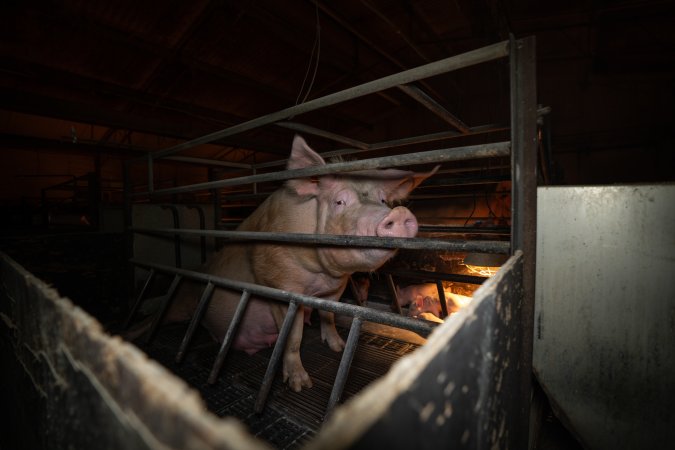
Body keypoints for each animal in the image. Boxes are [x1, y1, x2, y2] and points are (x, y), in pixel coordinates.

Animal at [131, 135, 438, 392]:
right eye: (340, 201)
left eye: (383, 199)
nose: (398, 214)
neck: (321, 276)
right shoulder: (278, 286)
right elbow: (292, 337)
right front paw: (301, 385)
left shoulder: (335, 289)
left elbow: (328, 316)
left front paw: (338, 347)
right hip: (181, 300)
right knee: (156, 317)